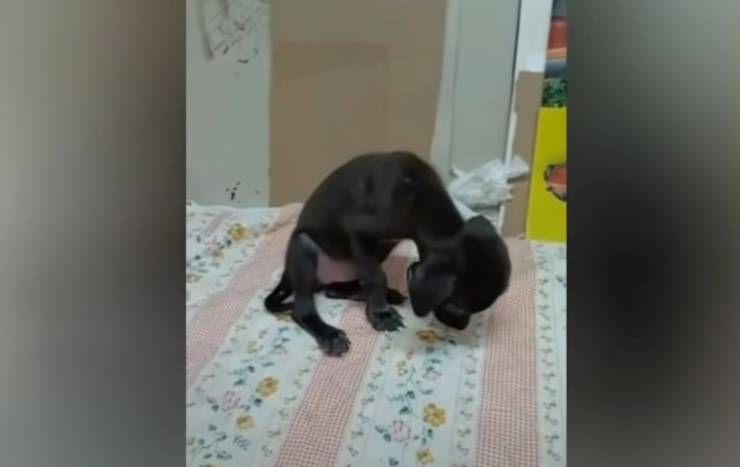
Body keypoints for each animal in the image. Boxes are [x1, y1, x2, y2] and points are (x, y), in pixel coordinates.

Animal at [264, 151, 511, 355]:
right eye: (454, 305)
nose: (460, 327)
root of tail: (287, 274)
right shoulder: (357, 232)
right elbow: (375, 276)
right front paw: (381, 314)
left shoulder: (379, 243)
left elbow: (372, 277)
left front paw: (379, 305)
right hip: (304, 248)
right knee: (302, 309)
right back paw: (330, 334)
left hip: (373, 253)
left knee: (334, 291)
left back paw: (383, 294)